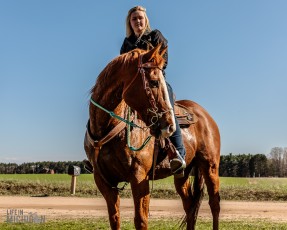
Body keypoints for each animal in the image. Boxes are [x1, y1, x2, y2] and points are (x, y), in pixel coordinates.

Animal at [84, 44, 222, 229]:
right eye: (154, 82)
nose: (170, 125)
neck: (109, 129)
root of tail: (205, 116)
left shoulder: (139, 177)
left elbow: (141, 220)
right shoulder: (104, 182)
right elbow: (115, 219)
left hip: (210, 166)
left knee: (214, 203)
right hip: (183, 174)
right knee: (189, 206)